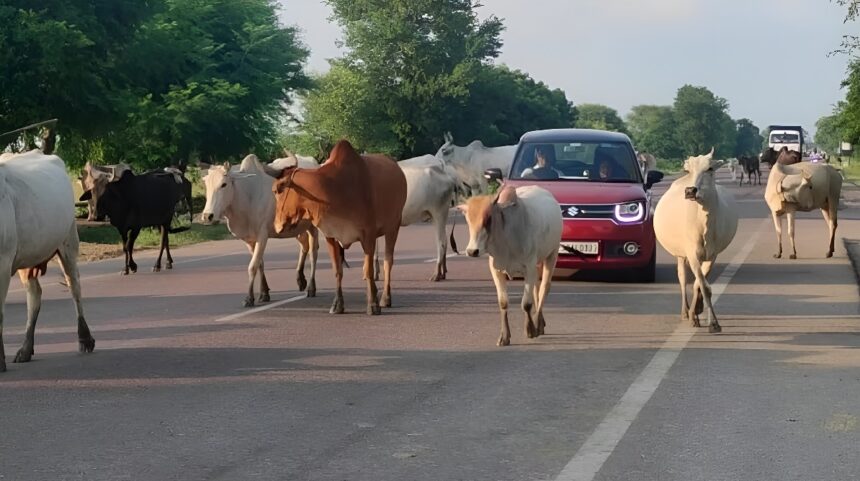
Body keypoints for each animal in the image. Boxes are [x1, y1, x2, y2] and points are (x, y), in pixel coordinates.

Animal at [0, 150, 95, 372]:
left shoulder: (3, 262)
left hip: (68, 241)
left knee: (74, 286)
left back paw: (85, 338)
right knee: (35, 294)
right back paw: (26, 349)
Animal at [200, 154, 320, 307]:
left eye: (224, 184)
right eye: (206, 184)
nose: (207, 216)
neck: (246, 196)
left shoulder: (262, 236)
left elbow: (252, 266)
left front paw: (249, 298)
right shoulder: (249, 240)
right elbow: (260, 264)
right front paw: (264, 293)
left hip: (313, 226)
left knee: (313, 253)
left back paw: (311, 287)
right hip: (298, 228)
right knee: (304, 246)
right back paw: (300, 279)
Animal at [272, 140, 408, 315]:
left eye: (276, 190)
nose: (276, 225)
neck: (335, 188)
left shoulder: (368, 235)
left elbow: (369, 271)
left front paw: (373, 305)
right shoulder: (331, 236)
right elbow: (338, 270)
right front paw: (337, 305)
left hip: (393, 226)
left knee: (388, 262)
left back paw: (385, 298)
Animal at [458, 185, 562, 346]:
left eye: (488, 219)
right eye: (468, 219)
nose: (472, 251)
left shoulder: (529, 268)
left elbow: (526, 303)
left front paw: (530, 330)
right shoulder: (496, 270)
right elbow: (503, 302)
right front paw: (504, 337)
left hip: (552, 254)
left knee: (544, 288)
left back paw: (538, 324)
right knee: (537, 289)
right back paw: (541, 323)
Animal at [654, 149, 738, 333]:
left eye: (710, 169)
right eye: (688, 170)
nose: (690, 191)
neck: (703, 222)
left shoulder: (712, 256)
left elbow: (701, 285)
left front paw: (700, 312)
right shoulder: (692, 255)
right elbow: (702, 285)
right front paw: (708, 321)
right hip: (680, 255)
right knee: (682, 278)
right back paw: (685, 311)